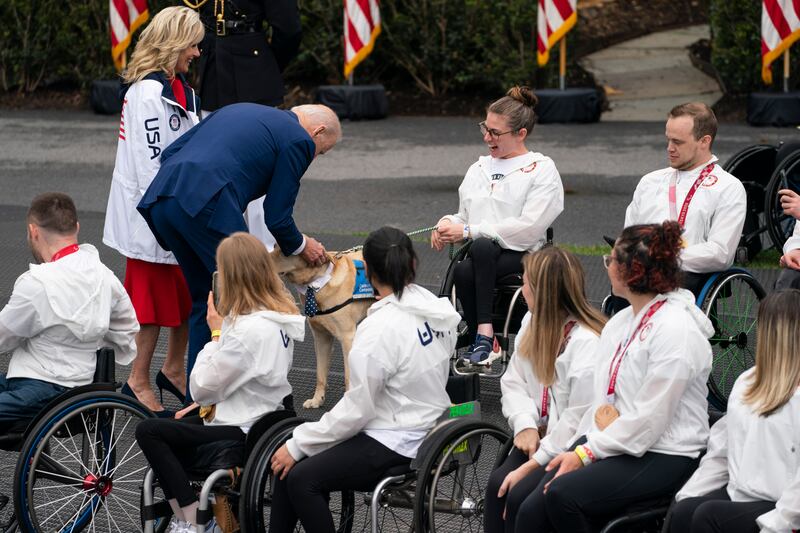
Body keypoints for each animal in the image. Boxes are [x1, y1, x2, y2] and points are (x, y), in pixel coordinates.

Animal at [270, 248, 374, 408]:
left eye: (283, 251)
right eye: (274, 246)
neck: (315, 286)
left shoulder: (347, 337)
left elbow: (348, 376)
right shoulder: (321, 337)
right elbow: (320, 374)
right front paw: (317, 399)